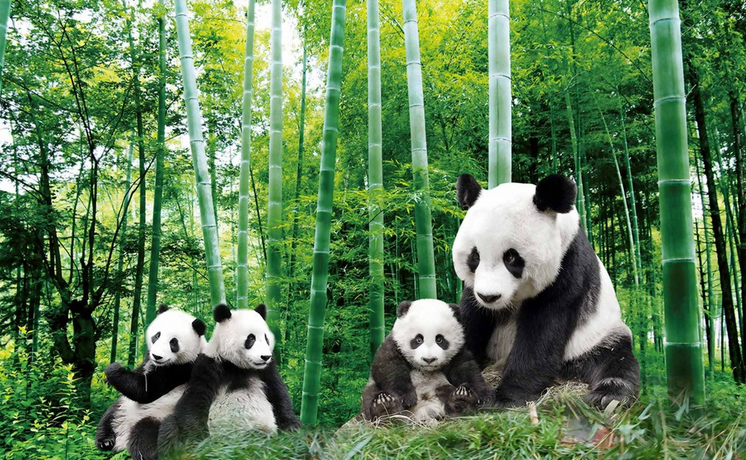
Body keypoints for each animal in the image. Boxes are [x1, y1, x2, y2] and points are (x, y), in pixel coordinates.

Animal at [95, 305, 207, 460]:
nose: (157, 356)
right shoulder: (147, 361)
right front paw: (107, 379)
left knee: (145, 433)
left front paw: (112, 369)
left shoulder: (181, 370)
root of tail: (122, 440)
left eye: (173, 342)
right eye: (157, 335)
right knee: (109, 416)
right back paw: (106, 441)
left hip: (160, 416)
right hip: (123, 407)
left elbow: (144, 390)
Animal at [157, 303, 299, 454]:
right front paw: (200, 442)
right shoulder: (209, 365)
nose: (265, 357)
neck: (236, 365)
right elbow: (195, 399)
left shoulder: (266, 370)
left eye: (266, 338)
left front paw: (292, 427)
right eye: (251, 338)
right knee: (169, 426)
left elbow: (278, 393)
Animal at [361, 299, 494, 422]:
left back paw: (461, 399)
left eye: (439, 339)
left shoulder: (457, 352)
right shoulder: (393, 344)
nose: (429, 359)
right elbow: (389, 367)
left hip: (440, 387)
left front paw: (485, 394)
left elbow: (465, 369)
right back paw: (385, 407)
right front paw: (407, 397)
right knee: (371, 394)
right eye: (418, 339)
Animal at [452, 174, 640, 409]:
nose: (489, 296)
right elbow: (471, 318)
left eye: (511, 257)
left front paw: (508, 397)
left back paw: (607, 396)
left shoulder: (567, 265)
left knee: (616, 360)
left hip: (597, 337)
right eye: (475, 256)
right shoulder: (474, 288)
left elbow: (543, 329)